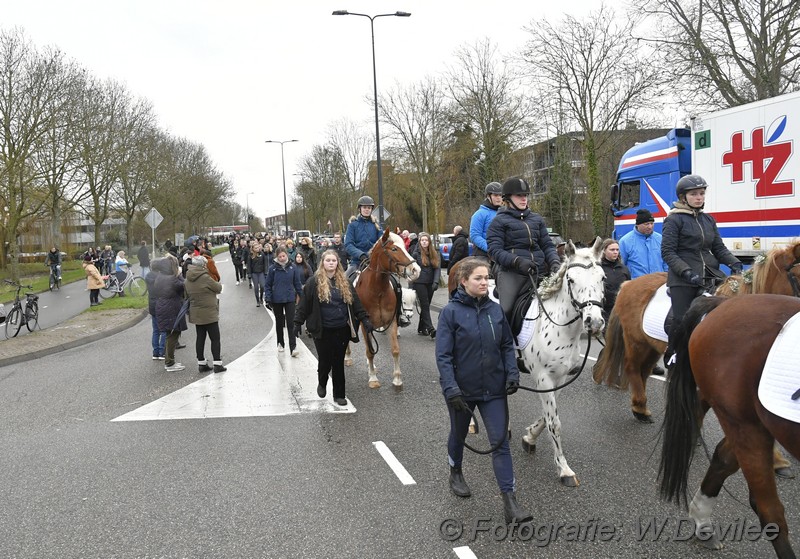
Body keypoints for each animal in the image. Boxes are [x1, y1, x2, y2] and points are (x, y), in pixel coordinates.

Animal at [346, 230, 422, 392]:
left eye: (405, 246)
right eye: (394, 249)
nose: (416, 270)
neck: (377, 290)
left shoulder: (391, 322)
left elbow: (395, 350)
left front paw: (397, 379)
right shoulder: (365, 325)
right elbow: (370, 352)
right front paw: (373, 379)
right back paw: (348, 357)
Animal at [592, 243, 800, 422]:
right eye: (797, 275)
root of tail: (627, 285)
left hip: (650, 345)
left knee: (644, 370)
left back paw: (640, 406)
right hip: (636, 342)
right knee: (632, 368)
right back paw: (640, 408)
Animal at [656, 296, 800, 556]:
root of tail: (724, 302)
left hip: (748, 422)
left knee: (723, 459)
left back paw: (703, 523)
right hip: (744, 425)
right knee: (769, 511)